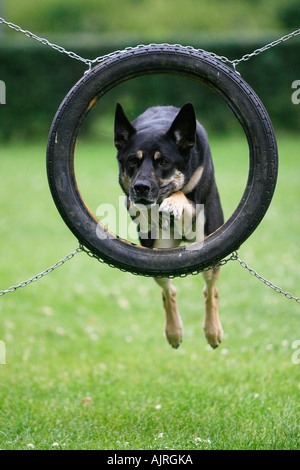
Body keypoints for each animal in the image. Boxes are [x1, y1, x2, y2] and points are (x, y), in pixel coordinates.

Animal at [113, 103, 224, 348]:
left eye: (163, 162)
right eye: (132, 161)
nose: (141, 187)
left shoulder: (196, 197)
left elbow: (182, 193)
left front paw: (173, 202)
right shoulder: (130, 198)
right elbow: (137, 207)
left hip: (207, 242)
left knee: (210, 290)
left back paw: (213, 330)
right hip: (159, 253)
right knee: (168, 291)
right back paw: (174, 331)